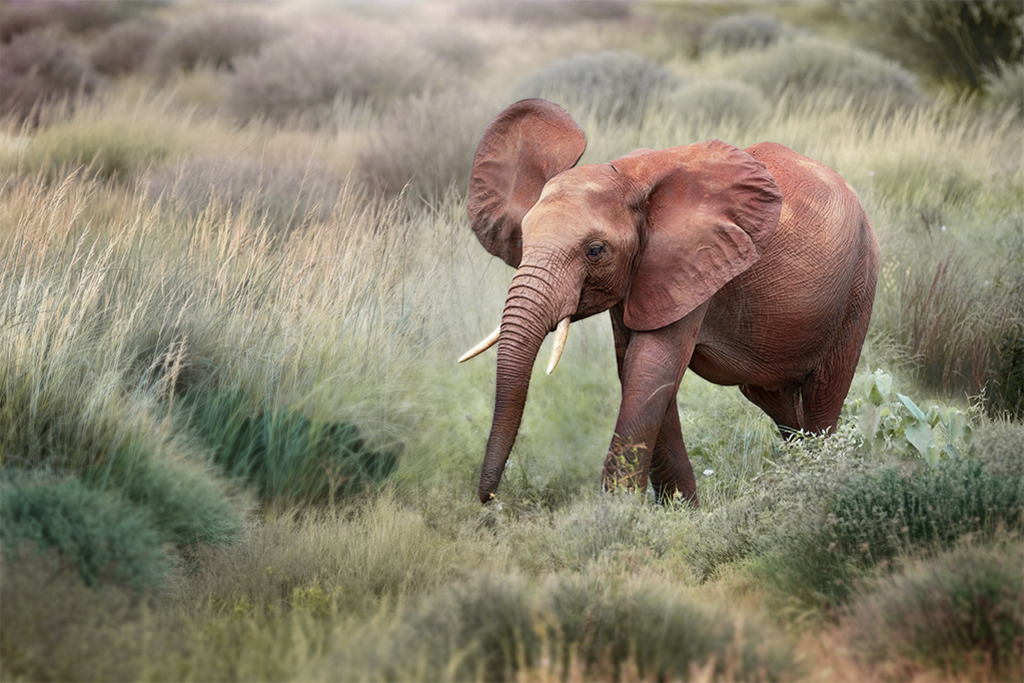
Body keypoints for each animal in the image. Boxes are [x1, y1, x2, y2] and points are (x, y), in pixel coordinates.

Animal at [460, 99, 879, 505]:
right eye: (523, 238)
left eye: (595, 250)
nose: (489, 500)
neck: (628, 177)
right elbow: (635, 369)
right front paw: (681, 510)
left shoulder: (694, 262)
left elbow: (650, 369)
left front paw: (617, 514)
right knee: (775, 400)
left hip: (859, 282)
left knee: (824, 393)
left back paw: (820, 474)